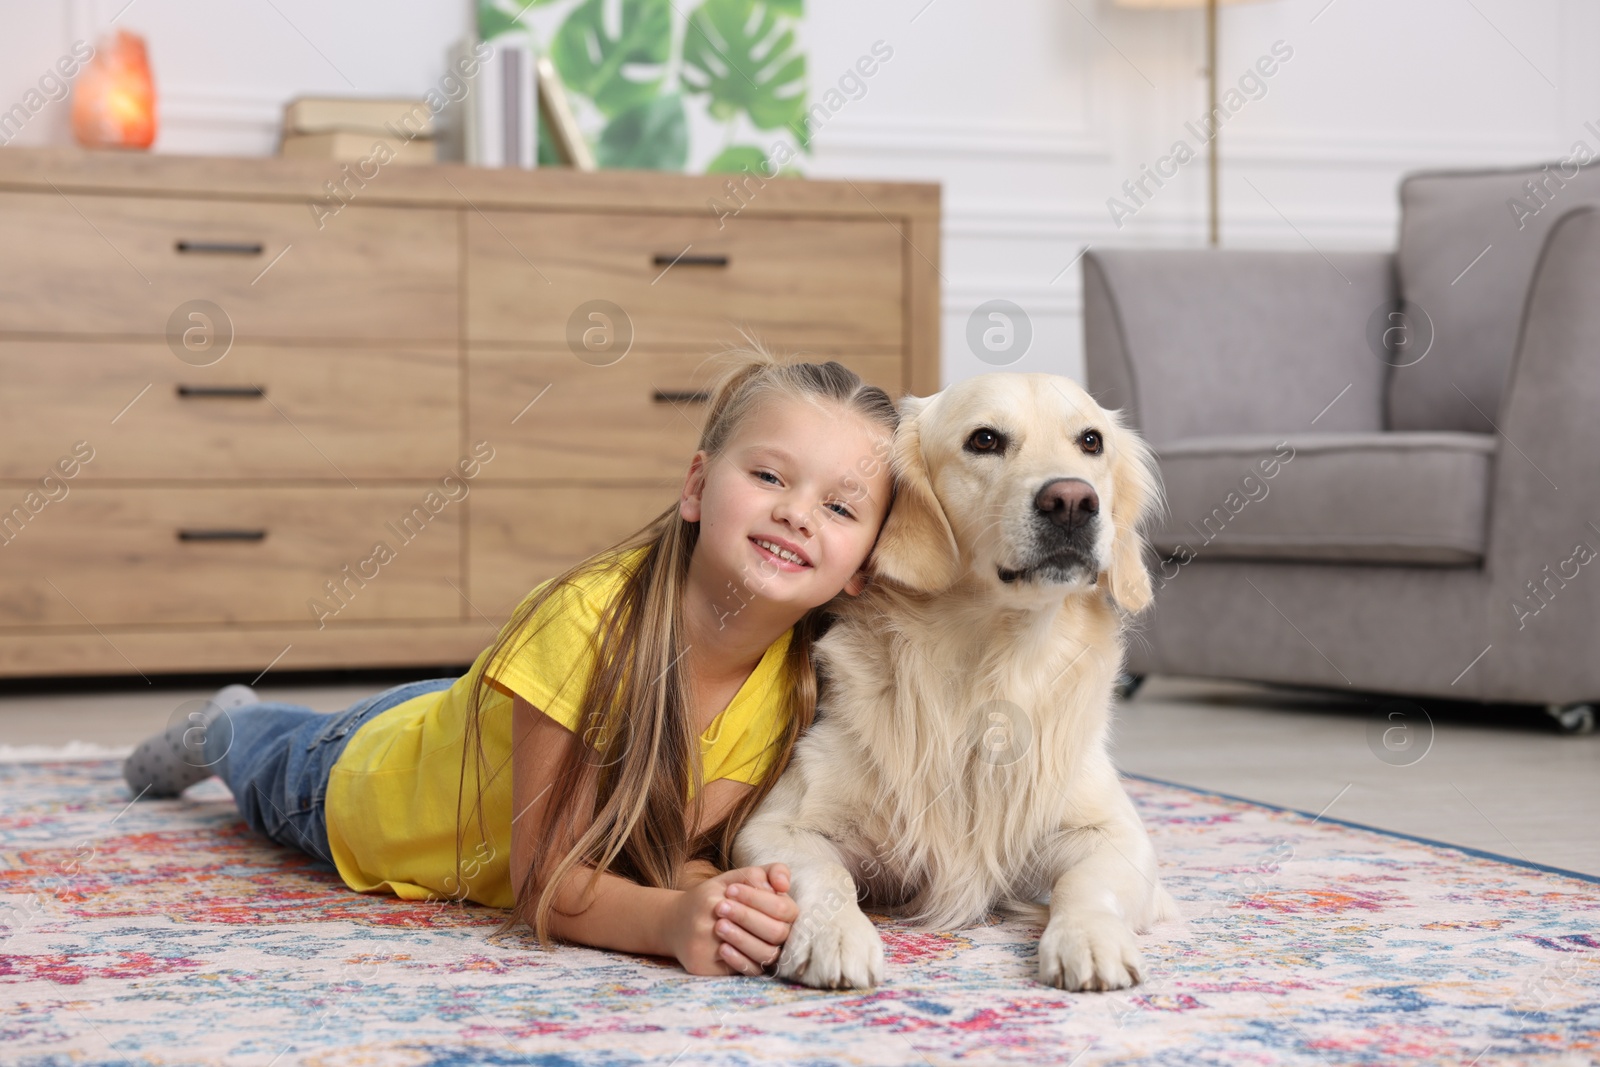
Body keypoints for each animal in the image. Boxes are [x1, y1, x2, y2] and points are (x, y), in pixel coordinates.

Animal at [732, 374, 1177, 991]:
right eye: (984, 439)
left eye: (1091, 441)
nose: (1072, 501)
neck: (991, 662)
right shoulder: (779, 825)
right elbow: (825, 877)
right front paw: (834, 935)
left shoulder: (1114, 832)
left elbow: (1086, 884)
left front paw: (1090, 938)